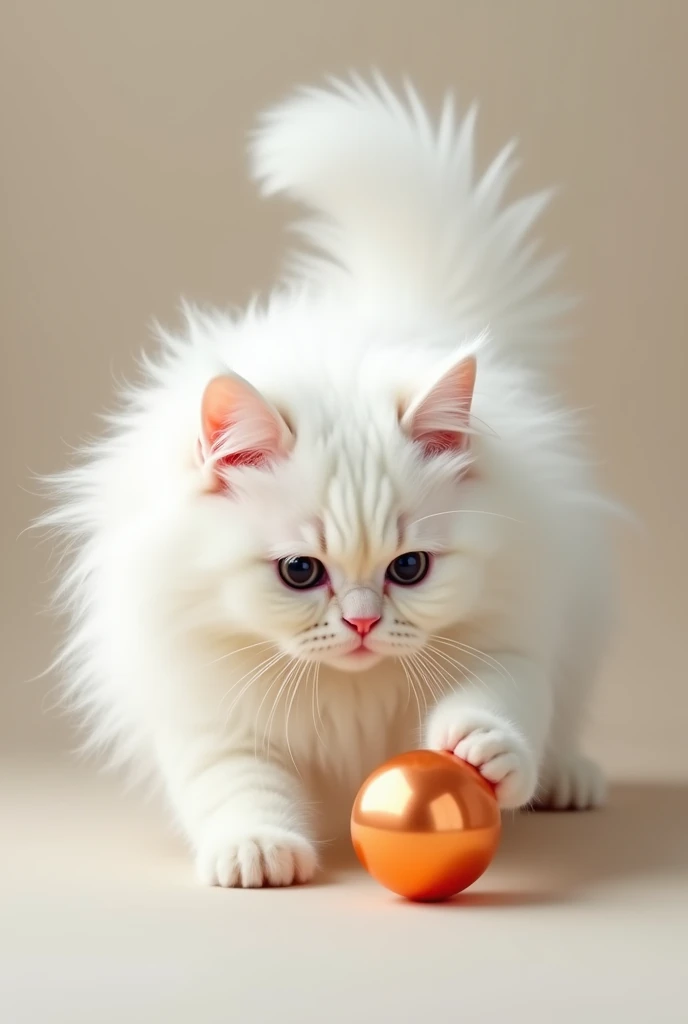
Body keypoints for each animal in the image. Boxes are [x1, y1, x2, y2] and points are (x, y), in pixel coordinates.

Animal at [48, 75, 610, 888]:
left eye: (409, 569)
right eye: (299, 572)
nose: (363, 623)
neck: (347, 691)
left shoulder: (509, 637)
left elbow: (501, 701)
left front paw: (482, 753)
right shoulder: (207, 709)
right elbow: (238, 786)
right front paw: (256, 852)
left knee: (562, 716)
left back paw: (570, 779)